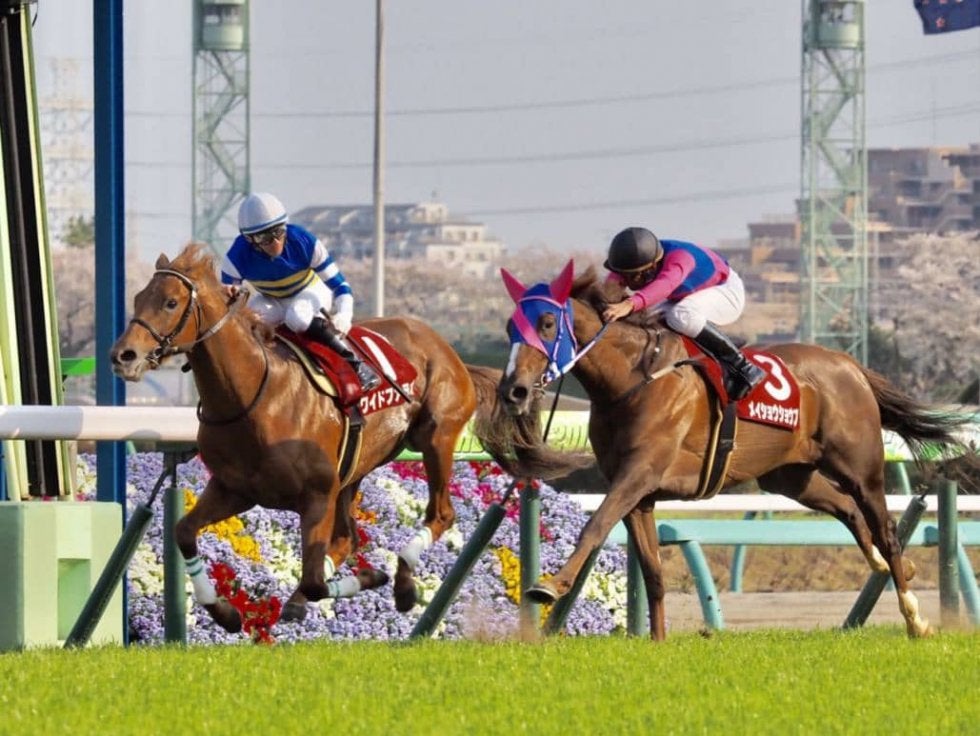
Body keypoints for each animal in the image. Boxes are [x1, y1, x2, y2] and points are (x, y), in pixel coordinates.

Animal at [109, 242, 544, 633]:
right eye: (138, 297)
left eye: (170, 302)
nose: (123, 356)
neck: (254, 396)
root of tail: (446, 348)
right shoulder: (234, 489)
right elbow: (184, 532)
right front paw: (224, 612)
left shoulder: (316, 495)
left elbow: (316, 581)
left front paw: (372, 578)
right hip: (356, 470)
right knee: (347, 538)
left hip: (435, 438)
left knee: (439, 514)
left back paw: (402, 583)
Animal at [494, 260, 968, 640]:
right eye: (510, 328)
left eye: (547, 324)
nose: (513, 391)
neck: (631, 380)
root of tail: (850, 364)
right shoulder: (638, 494)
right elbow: (653, 571)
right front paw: (657, 642)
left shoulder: (639, 474)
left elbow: (594, 526)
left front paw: (548, 586)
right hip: (790, 477)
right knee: (848, 511)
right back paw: (888, 568)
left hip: (860, 467)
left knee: (885, 530)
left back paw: (915, 617)